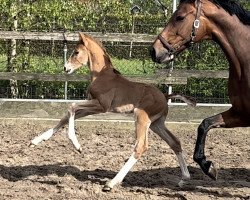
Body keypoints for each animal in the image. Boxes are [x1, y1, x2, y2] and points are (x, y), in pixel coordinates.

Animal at [30, 32, 195, 191]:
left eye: (76, 52)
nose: (66, 68)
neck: (102, 75)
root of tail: (165, 96)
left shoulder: (101, 106)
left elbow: (71, 106)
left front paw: (77, 145)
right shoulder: (94, 107)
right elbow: (67, 116)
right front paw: (36, 141)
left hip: (141, 117)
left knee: (141, 146)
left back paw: (111, 183)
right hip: (156, 123)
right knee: (175, 142)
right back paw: (184, 179)